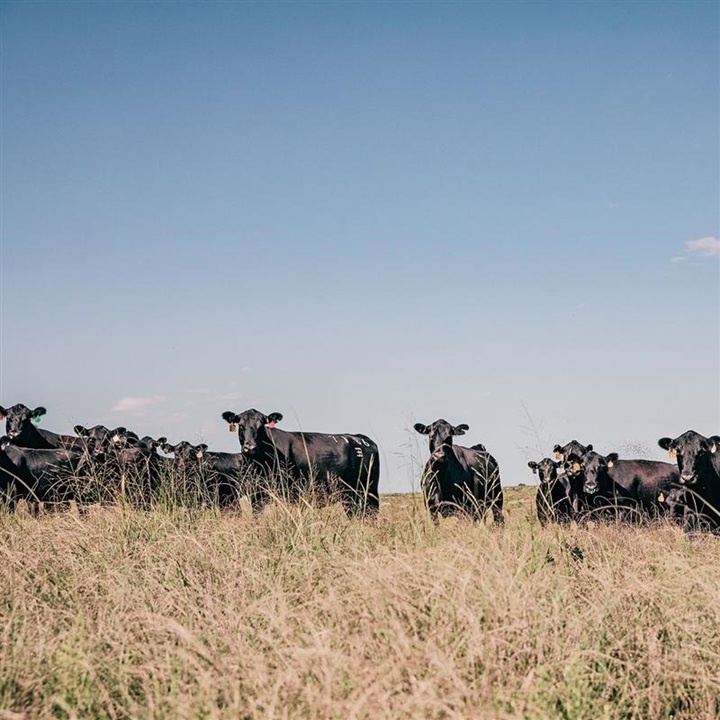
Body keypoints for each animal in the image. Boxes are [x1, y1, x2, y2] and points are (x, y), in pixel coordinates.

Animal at [221, 408, 380, 516]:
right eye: (241, 426)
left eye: (261, 427)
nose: (250, 447)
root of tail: (361, 438)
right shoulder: (256, 493)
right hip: (350, 496)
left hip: (369, 491)